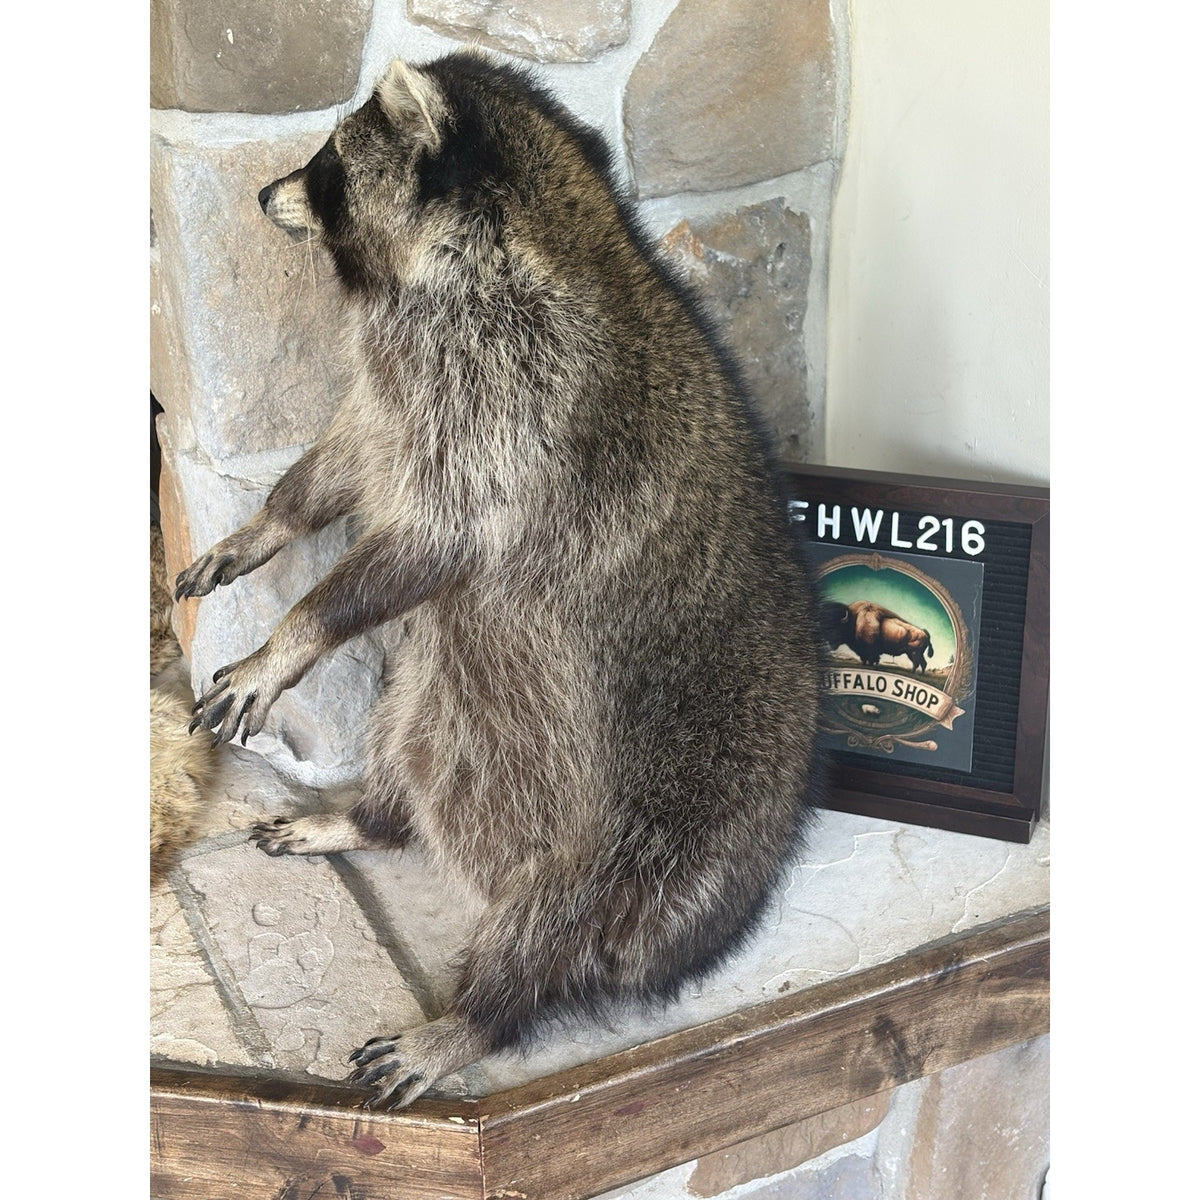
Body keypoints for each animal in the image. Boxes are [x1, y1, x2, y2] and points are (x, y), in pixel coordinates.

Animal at [177, 52, 822, 1107]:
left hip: (650, 831)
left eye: (327, 163)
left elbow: (434, 541)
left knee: (555, 918)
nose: (264, 192)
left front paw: (293, 635)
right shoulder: (409, 386)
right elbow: (353, 454)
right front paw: (272, 519)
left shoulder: (515, 396)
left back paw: (476, 1014)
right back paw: (373, 817)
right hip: (445, 695)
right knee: (406, 718)